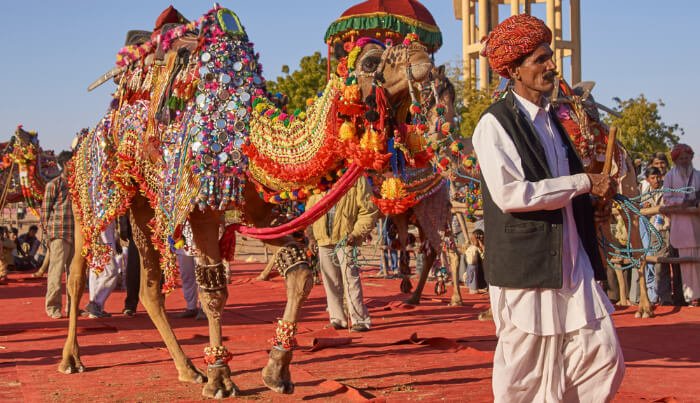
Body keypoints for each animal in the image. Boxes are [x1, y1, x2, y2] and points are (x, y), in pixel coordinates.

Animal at [58, 4, 442, 400]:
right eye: (370, 60)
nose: (421, 57)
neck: (248, 140)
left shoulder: (265, 212)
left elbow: (300, 274)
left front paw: (276, 371)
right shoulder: (204, 212)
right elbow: (214, 291)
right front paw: (221, 379)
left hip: (144, 206)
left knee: (150, 290)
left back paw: (188, 369)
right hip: (91, 196)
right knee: (77, 274)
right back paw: (72, 359)